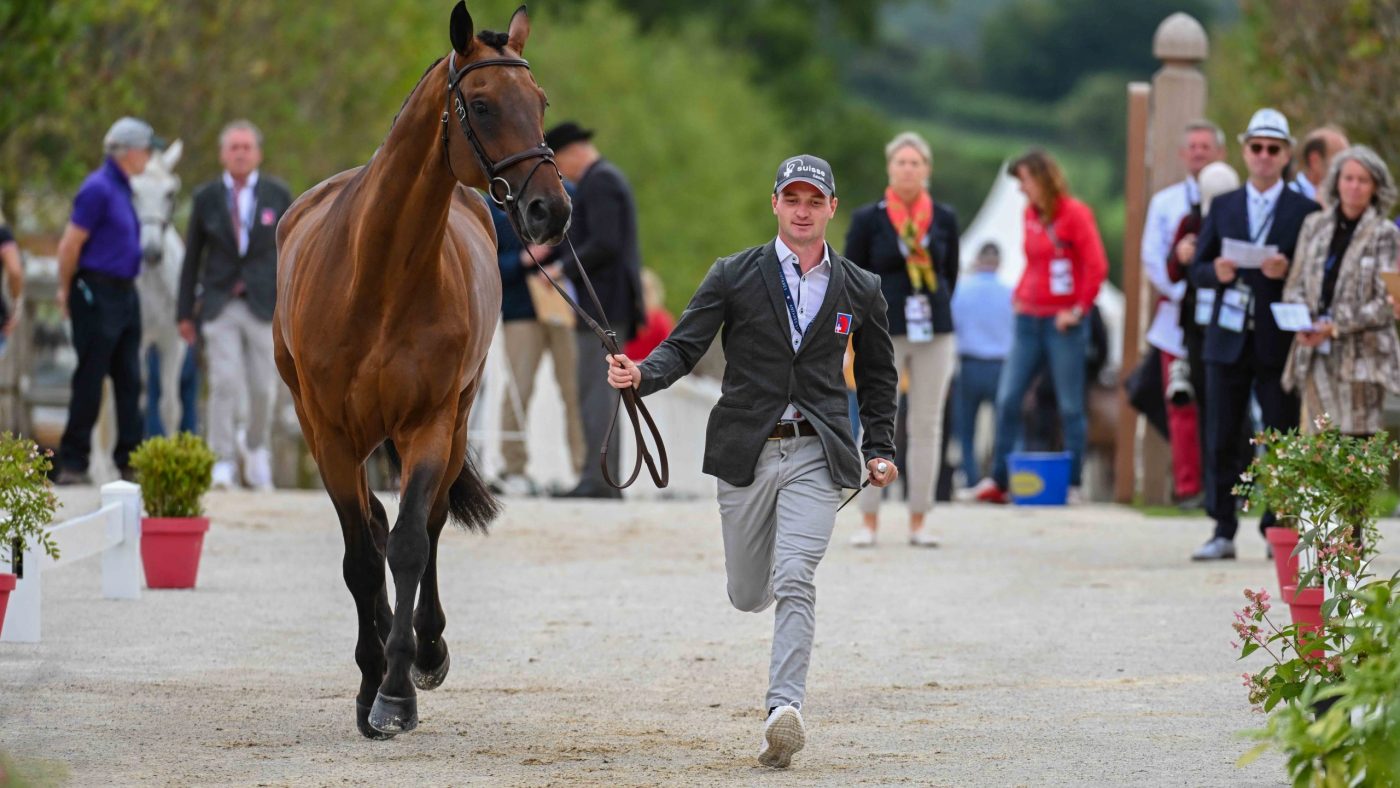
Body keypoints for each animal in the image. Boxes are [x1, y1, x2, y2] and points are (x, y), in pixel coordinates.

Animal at [273, 2, 571, 739]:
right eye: (484, 104)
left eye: (541, 102)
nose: (551, 209)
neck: (377, 277)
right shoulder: (330, 434)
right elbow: (360, 555)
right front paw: (370, 679)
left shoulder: (429, 422)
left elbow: (410, 542)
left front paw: (397, 690)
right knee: (374, 528)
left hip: (455, 420)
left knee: (426, 525)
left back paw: (423, 647)